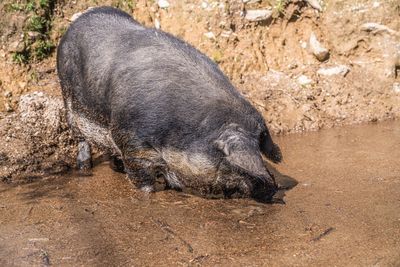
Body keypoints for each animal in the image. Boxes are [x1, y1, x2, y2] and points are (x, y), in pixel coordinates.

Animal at [56, 6, 282, 202]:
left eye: (259, 149)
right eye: (232, 163)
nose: (273, 188)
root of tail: (77, 22)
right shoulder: (131, 142)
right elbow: (143, 181)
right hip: (68, 97)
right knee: (80, 139)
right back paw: (85, 168)